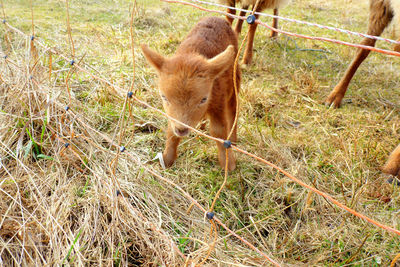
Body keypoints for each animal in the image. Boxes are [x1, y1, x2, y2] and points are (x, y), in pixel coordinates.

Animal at [141, 16, 241, 172]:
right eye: (164, 97)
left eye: (203, 99)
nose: (182, 129)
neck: (193, 52)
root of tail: (217, 17)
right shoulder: (173, 116)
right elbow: (171, 130)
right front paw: (167, 159)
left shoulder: (218, 98)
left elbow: (219, 131)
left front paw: (228, 164)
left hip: (233, 78)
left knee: (233, 108)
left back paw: (234, 139)